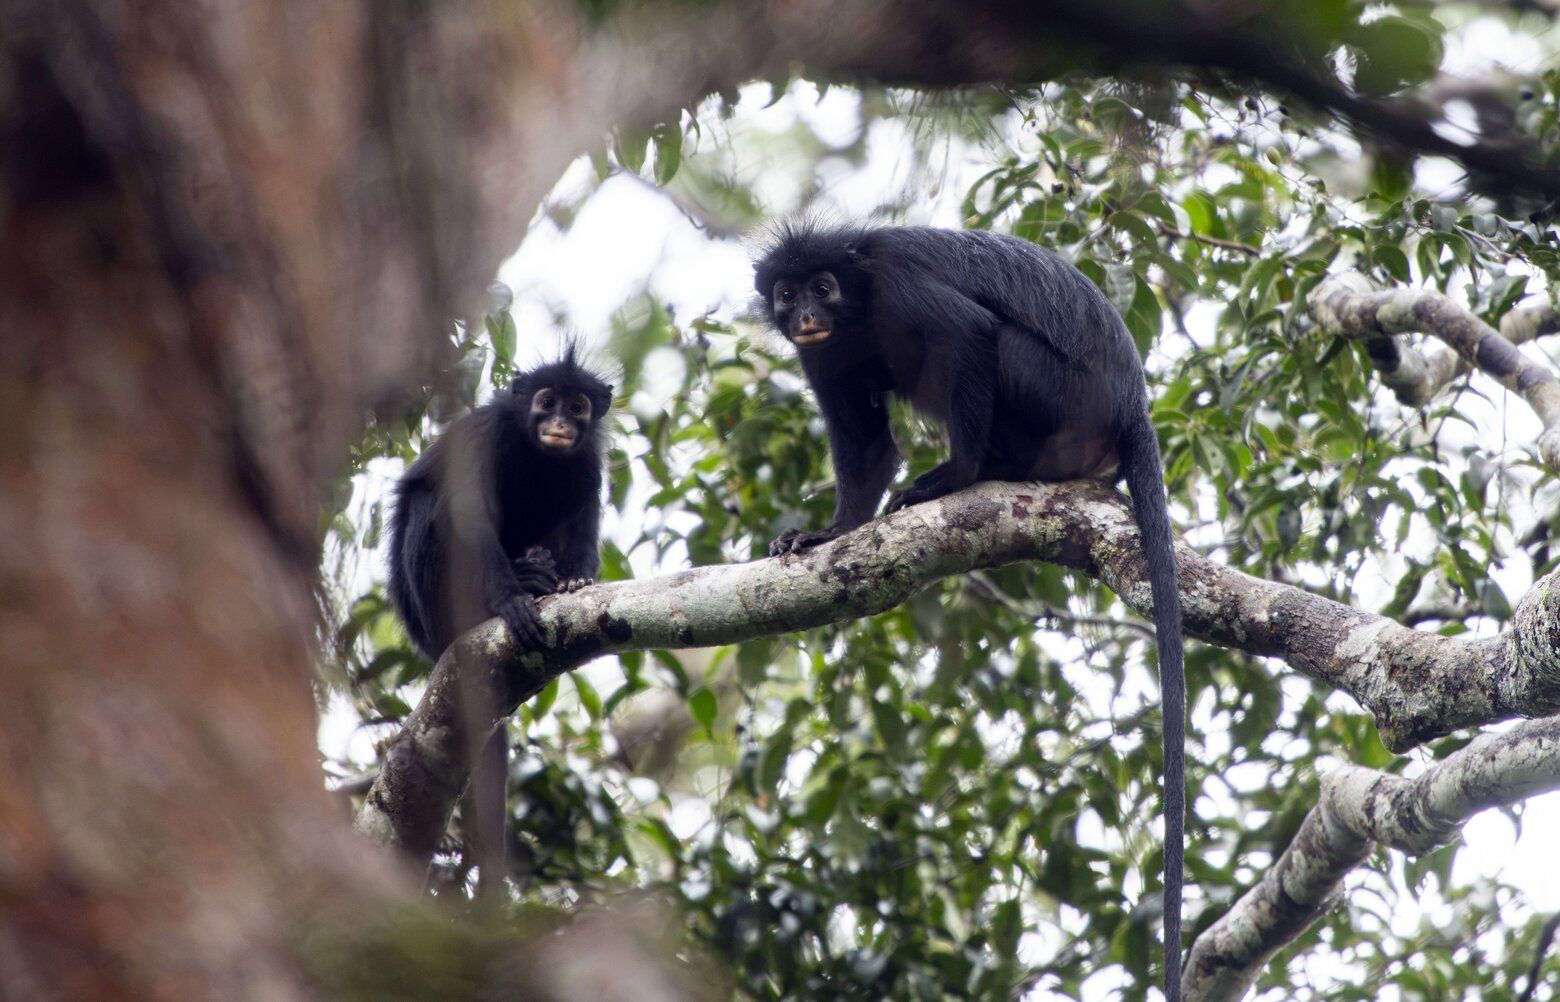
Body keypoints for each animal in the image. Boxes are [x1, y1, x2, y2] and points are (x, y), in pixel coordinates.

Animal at [387, 346, 612, 896]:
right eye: (546, 401)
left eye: (577, 407)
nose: (559, 423)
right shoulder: (483, 436)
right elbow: (468, 513)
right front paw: (510, 602)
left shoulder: (587, 460)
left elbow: (583, 511)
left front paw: (574, 582)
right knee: (432, 502)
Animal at [754, 223, 1186, 999]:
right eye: (787, 293)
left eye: (823, 287)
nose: (804, 313)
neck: (857, 308)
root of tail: (1130, 404)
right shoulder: (824, 354)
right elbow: (866, 446)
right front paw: (829, 534)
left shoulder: (897, 287)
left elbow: (970, 334)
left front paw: (952, 476)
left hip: (1058, 396)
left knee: (997, 344)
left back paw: (981, 471)